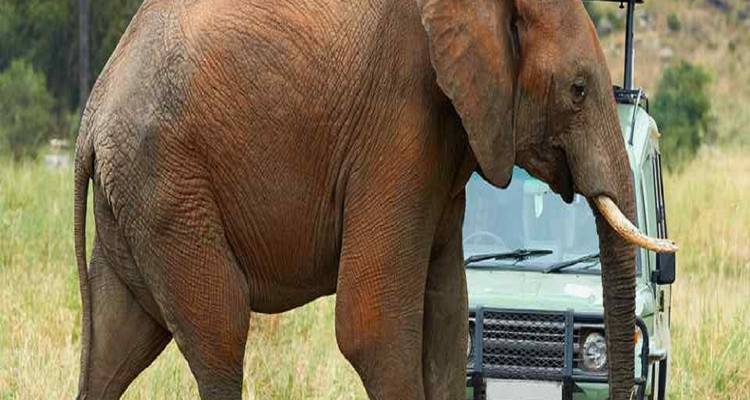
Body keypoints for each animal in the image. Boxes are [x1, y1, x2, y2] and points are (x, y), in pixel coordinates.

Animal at [73, 0, 676, 399]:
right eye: (578, 90)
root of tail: (93, 112)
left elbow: (448, 321)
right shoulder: (399, 121)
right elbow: (375, 329)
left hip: (136, 200)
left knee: (115, 342)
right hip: (169, 184)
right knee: (220, 333)